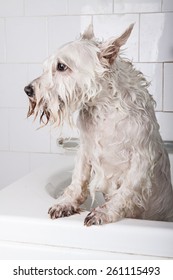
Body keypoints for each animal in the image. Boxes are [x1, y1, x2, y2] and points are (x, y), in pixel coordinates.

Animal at [24, 23, 173, 225]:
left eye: (61, 66)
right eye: (46, 67)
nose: (28, 90)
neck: (104, 110)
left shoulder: (141, 159)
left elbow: (126, 191)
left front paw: (103, 212)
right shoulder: (85, 149)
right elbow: (78, 180)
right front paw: (65, 204)